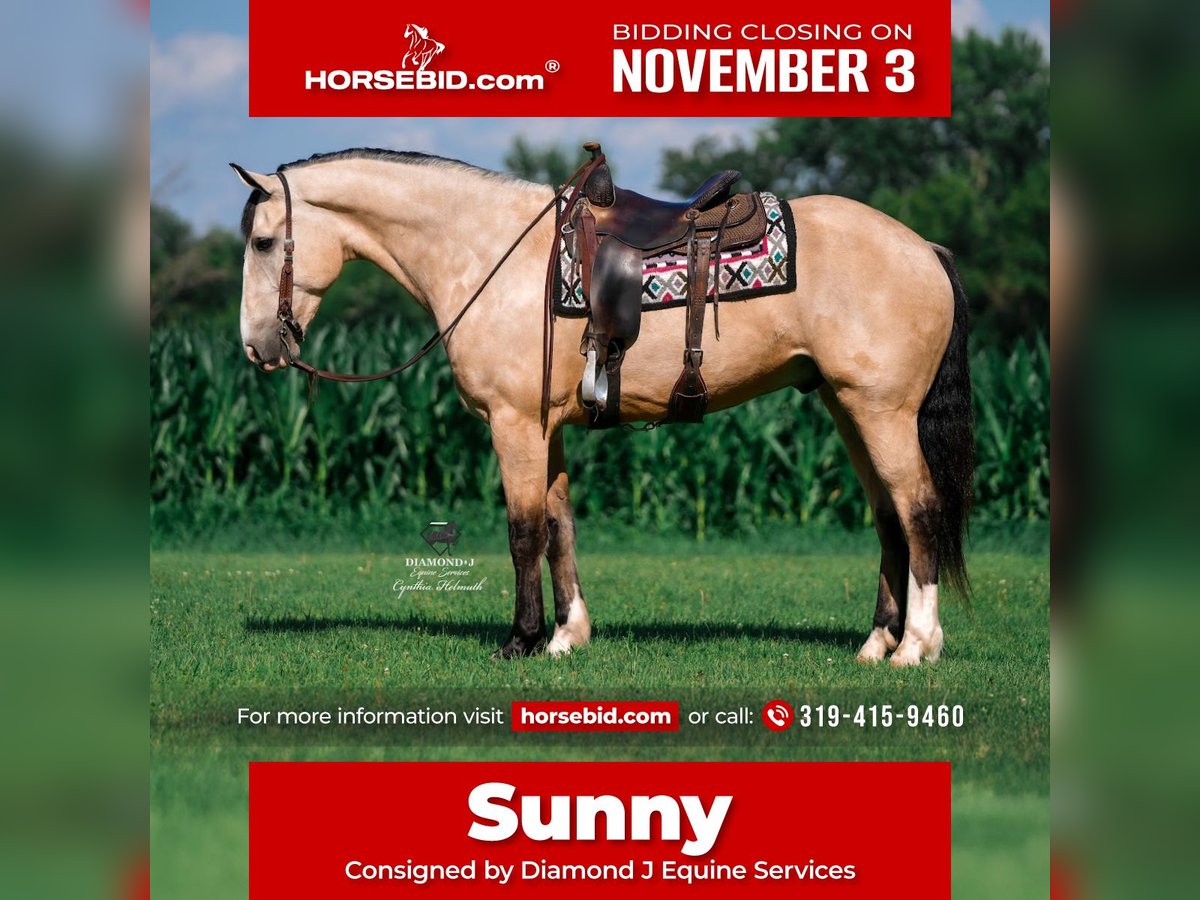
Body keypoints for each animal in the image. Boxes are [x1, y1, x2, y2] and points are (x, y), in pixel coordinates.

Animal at [231, 148, 974, 666]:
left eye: (264, 242)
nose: (256, 345)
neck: (489, 255)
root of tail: (924, 248)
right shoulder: (547, 428)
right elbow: (560, 526)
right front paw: (569, 636)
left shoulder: (514, 425)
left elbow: (524, 531)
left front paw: (522, 639)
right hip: (849, 411)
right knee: (888, 518)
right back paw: (876, 644)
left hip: (882, 413)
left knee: (918, 510)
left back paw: (917, 645)